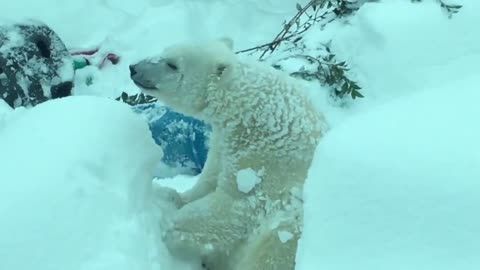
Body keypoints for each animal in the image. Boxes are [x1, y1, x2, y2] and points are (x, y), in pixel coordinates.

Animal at [130, 38, 326, 270]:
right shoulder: (225, 140)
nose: (133, 68)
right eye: (165, 50)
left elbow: (233, 204)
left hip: (289, 235)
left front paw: (169, 227)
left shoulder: (264, 161)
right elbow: (210, 176)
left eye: (172, 64)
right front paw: (174, 196)